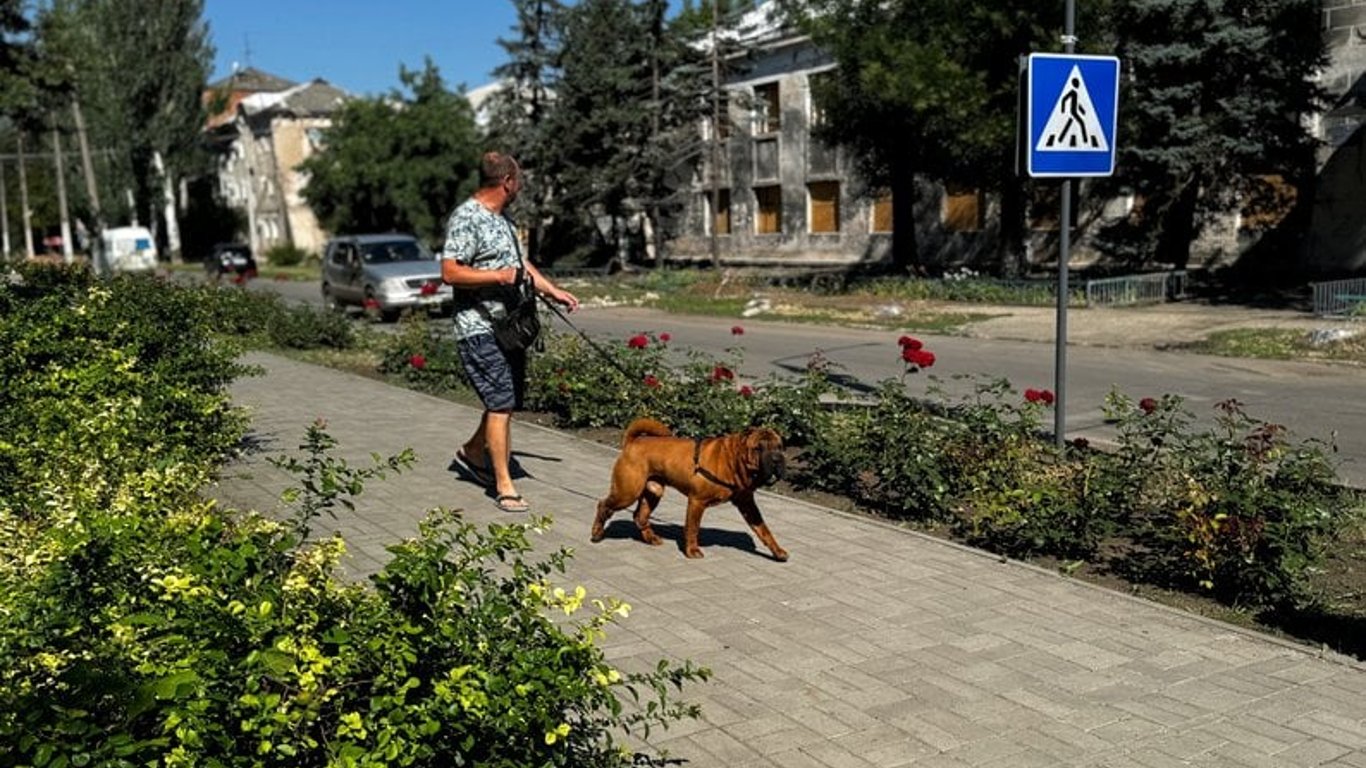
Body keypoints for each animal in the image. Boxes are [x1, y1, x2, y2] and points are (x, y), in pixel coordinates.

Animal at [590, 415, 792, 560]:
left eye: (779, 447)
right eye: (758, 448)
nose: (777, 459)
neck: (732, 460)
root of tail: (633, 441)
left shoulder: (747, 503)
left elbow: (764, 529)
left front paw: (777, 551)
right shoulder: (697, 501)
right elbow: (693, 527)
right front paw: (692, 550)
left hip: (653, 491)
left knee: (640, 516)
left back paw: (651, 538)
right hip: (628, 491)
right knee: (604, 505)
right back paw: (597, 533)